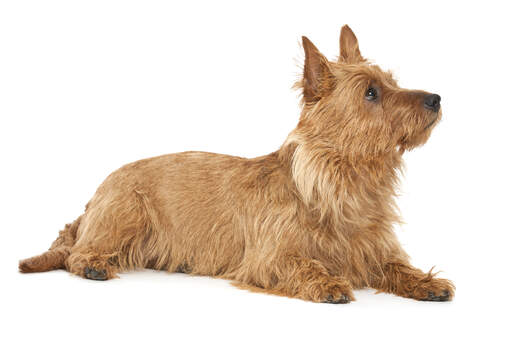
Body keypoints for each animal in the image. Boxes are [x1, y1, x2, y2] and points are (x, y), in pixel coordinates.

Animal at [19, 25, 456, 302]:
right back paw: (93, 264)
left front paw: (425, 282)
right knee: (76, 253)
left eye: (392, 82)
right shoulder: (269, 258)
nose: (436, 98)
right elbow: (302, 265)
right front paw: (328, 283)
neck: (343, 183)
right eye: (370, 92)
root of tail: (94, 195)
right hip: (125, 214)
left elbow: (397, 266)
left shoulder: (375, 250)